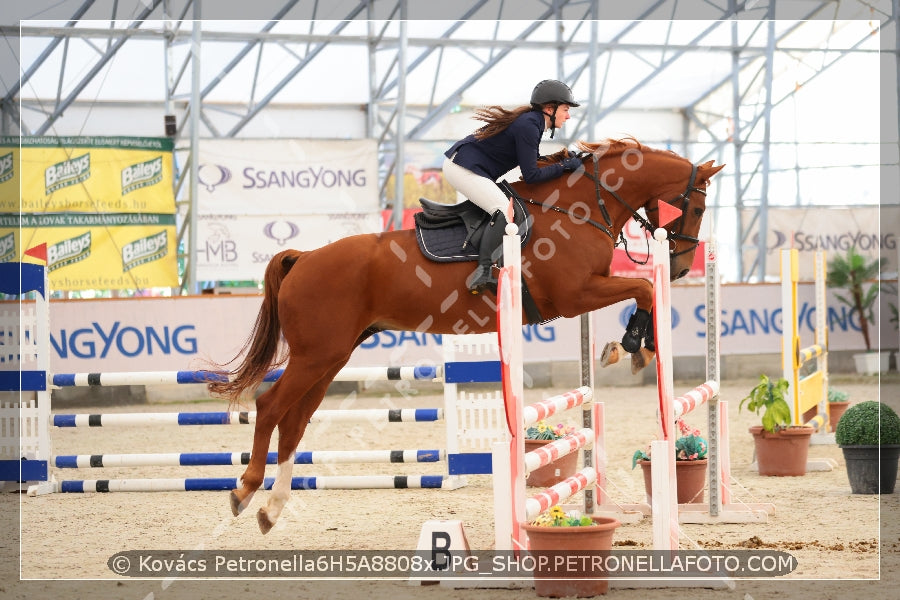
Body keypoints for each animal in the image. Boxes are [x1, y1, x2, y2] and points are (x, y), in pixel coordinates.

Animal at [206, 138, 724, 532]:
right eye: (698, 205)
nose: (680, 267)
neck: (576, 208)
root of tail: (305, 257)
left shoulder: (585, 293)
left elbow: (643, 292)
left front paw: (632, 347)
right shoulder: (575, 294)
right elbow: (644, 288)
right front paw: (633, 345)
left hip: (331, 356)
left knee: (294, 421)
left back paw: (272, 510)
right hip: (316, 354)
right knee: (270, 406)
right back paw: (245, 490)